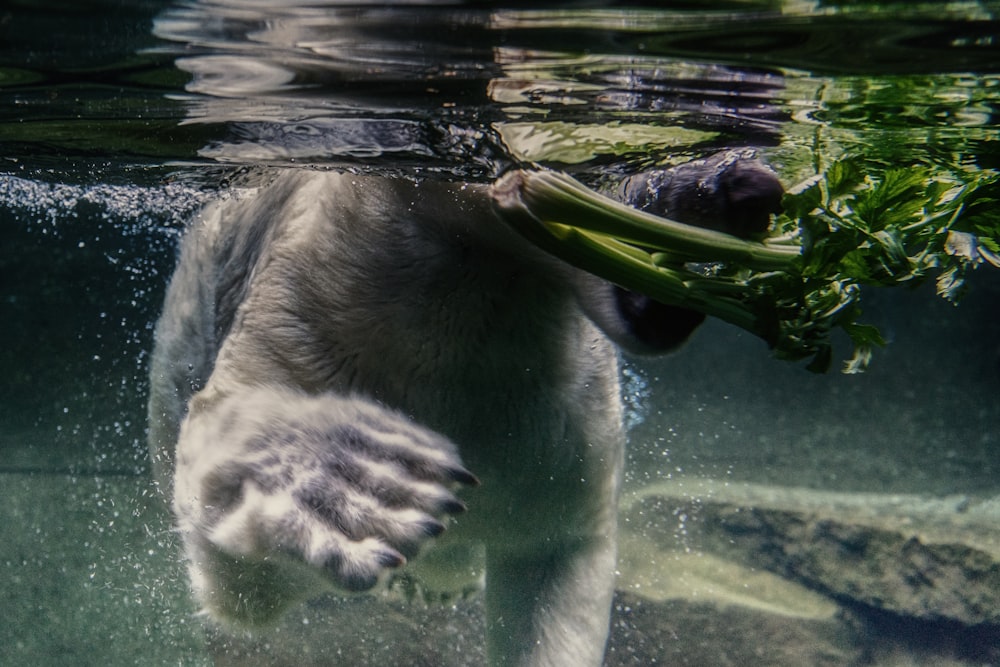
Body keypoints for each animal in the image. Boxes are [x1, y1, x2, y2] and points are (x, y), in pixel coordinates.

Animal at [148, 153, 784, 667]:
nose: (747, 188)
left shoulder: (558, 411)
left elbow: (554, 554)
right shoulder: (312, 296)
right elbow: (242, 589)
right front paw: (361, 487)